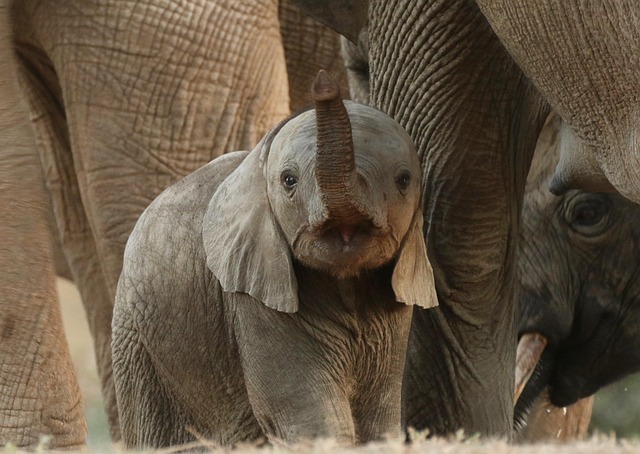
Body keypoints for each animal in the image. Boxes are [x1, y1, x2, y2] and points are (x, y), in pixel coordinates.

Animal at [111, 72, 437, 449]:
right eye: (288, 181)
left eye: (404, 180)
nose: (324, 83)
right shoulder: (250, 298)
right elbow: (308, 412)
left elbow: (379, 415)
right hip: (135, 338)